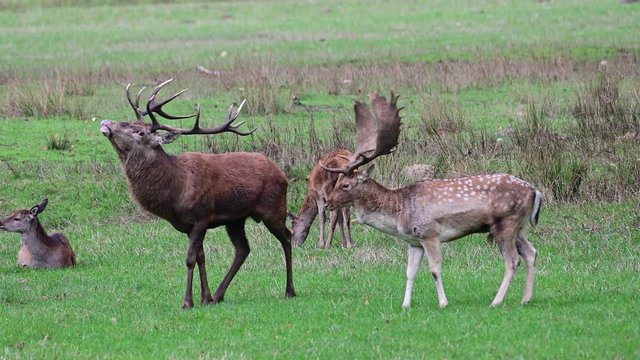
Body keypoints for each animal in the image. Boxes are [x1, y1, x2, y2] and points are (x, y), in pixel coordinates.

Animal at [101, 80, 296, 308]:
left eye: (140, 132)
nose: (106, 122)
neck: (175, 192)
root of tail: (282, 174)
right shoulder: (188, 225)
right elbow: (201, 257)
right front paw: (206, 297)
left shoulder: (201, 216)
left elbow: (190, 258)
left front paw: (187, 301)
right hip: (236, 219)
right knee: (243, 249)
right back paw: (219, 295)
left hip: (274, 208)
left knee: (287, 237)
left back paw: (290, 291)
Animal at [324, 91, 540, 308]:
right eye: (337, 181)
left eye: (345, 185)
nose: (327, 203)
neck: (400, 211)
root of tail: (534, 191)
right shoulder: (414, 241)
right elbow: (410, 273)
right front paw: (405, 305)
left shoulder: (430, 233)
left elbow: (435, 269)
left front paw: (443, 303)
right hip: (518, 226)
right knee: (531, 252)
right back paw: (526, 299)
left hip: (505, 224)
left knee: (513, 261)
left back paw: (496, 301)